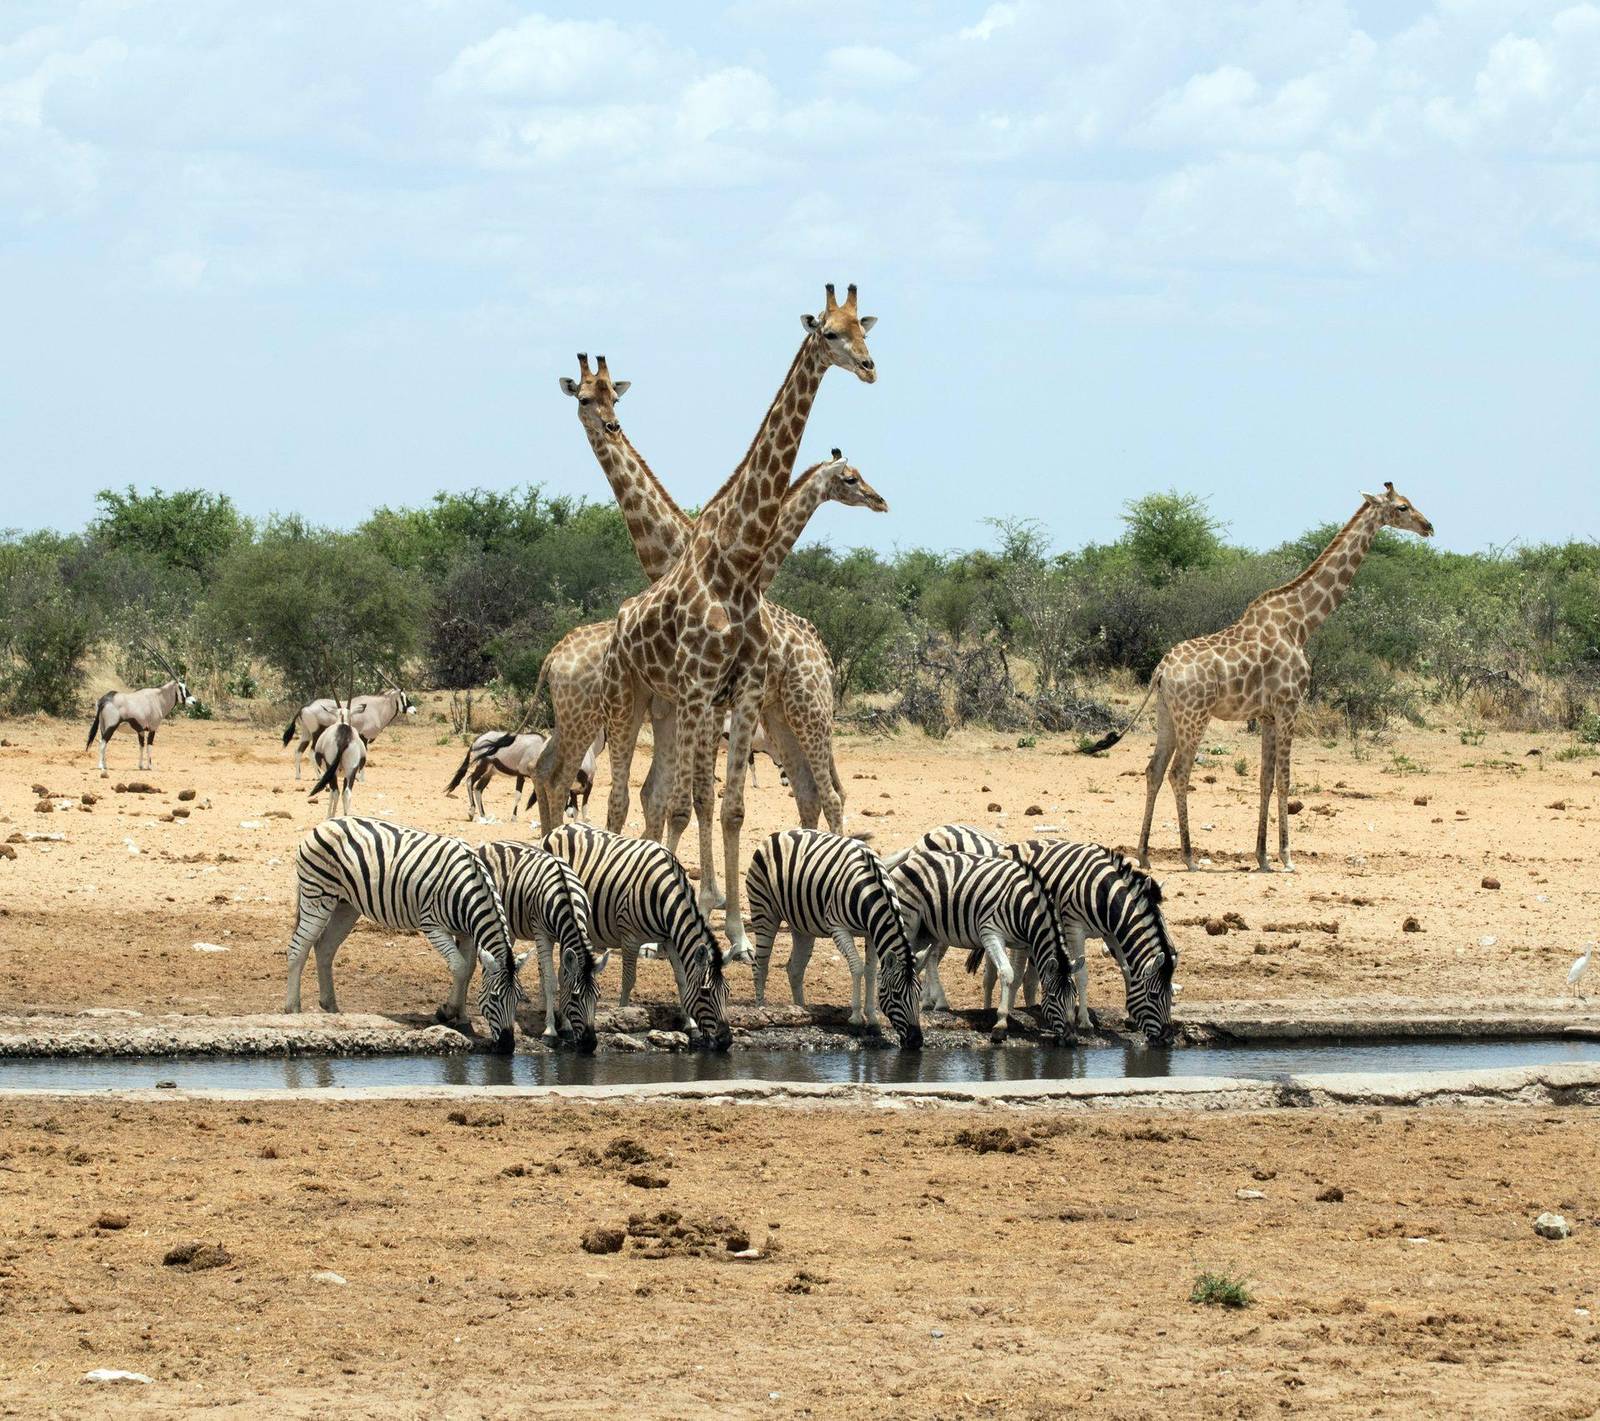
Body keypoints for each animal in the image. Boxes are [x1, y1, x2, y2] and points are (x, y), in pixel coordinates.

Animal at [283, 817, 519, 1053]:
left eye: (519, 999)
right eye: (494, 998)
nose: (507, 1046)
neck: (468, 894)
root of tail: (324, 824)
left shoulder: (467, 933)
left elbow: (468, 971)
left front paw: (462, 1018)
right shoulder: (432, 926)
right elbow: (460, 967)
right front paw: (446, 1012)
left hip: (346, 905)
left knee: (325, 947)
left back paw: (331, 1006)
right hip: (318, 895)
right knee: (298, 948)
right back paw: (293, 1009)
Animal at [477, 840, 605, 1052]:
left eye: (598, 996)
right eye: (575, 997)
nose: (590, 1044)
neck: (565, 895)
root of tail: (491, 843)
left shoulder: (564, 936)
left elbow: (563, 977)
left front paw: (565, 1025)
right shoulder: (542, 933)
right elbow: (552, 981)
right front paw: (550, 1031)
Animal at [542, 823, 732, 1050]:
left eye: (728, 992)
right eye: (706, 992)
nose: (726, 1040)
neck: (665, 895)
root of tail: (560, 828)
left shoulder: (670, 939)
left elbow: (682, 980)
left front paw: (691, 1025)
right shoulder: (630, 938)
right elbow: (628, 980)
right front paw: (622, 1016)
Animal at [744, 829, 922, 1048]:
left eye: (919, 994)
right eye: (896, 996)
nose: (917, 1041)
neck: (870, 889)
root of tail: (777, 834)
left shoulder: (871, 934)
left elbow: (871, 972)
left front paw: (872, 1020)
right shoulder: (838, 928)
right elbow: (857, 967)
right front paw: (856, 1019)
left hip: (802, 926)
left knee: (794, 969)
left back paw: (800, 1010)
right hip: (764, 911)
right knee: (760, 966)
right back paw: (762, 1009)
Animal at [888, 849, 1075, 1043]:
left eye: (1074, 996)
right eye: (1053, 997)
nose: (1071, 1039)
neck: (1023, 906)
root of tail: (914, 857)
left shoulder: (1027, 944)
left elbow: (1021, 977)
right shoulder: (990, 933)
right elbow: (1007, 973)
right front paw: (1000, 1024)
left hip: (927, 931)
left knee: (919, 961)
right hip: (909, 922)